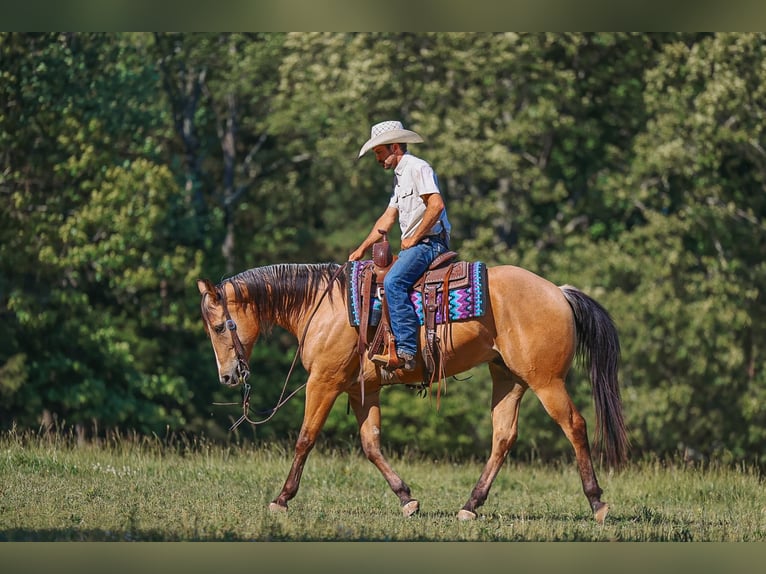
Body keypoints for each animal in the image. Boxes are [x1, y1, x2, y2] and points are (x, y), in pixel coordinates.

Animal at [196, 261, 628, 523]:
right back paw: (470, 506)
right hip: (509, 379)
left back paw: (597, 502)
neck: (323, 307)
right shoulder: (362, 391)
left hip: (546, 381)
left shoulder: (325, 382)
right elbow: (371, 444)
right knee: (503, 438)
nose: (228, 377)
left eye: (218, 327)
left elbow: (306, 437)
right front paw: (407, 498)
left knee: (575, 425)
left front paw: (282, 499)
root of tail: (558, 290)